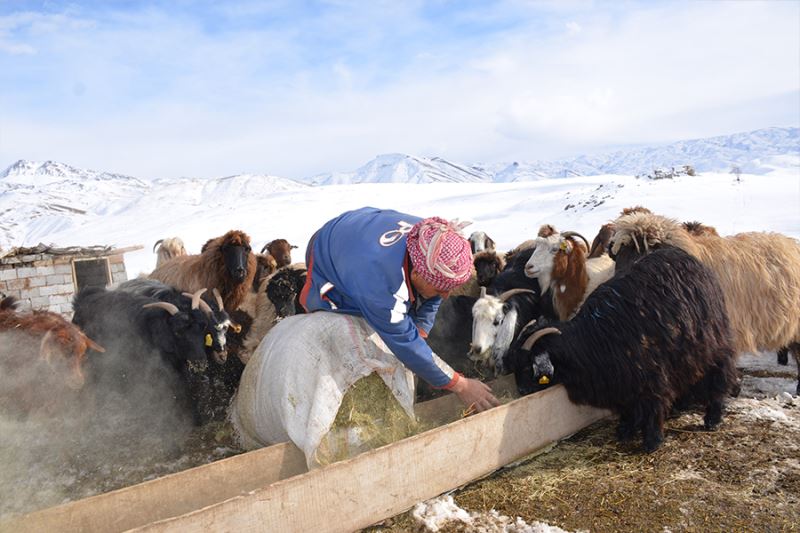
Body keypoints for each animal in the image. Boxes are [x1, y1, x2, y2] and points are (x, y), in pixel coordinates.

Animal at [506, 247, 736, 450]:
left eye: (527, 366)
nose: (522, 391)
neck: (590, 339)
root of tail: (696, 263)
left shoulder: (651, 375)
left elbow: (653, 405)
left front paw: (652, 441)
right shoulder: (620, 381)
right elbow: (627, 407)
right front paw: (625, 430)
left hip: (712, 342)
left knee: (719, 373)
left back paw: (713, 418)